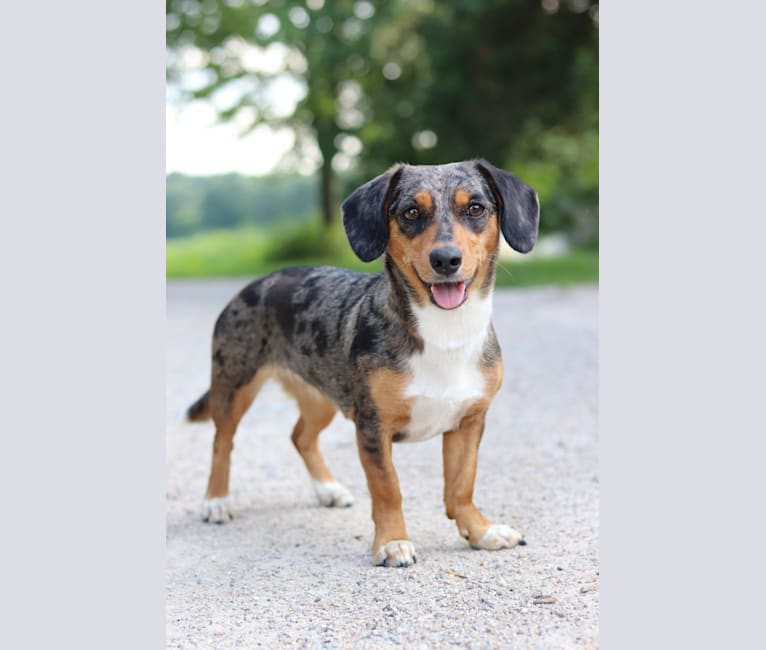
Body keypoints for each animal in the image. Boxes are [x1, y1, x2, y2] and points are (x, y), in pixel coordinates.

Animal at [188, 159, 540, 564]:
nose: (446, 260)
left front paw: (480, 531)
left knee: (300, 436)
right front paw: (392, 541)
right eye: (411, 212)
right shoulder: (373, 426)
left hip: (322, 395)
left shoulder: (469, 422)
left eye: (476, 208)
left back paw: (327, 490)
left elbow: (461, 485)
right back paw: (216, 501)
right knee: (222, 443)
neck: (444, 334)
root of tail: (256, 283)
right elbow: (388, 488)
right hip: (234, 387)